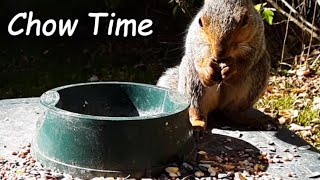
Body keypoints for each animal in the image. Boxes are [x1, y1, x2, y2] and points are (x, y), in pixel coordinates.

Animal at [156, 0, 272, 130]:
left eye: (245, 20)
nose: (219, 53)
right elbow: (197, 50)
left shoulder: (257, 37)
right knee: (197, 110)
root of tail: (217, 107)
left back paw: (251, 120)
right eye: (200, 21)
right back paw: (197, 123)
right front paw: (207, 69)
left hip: (256, 78)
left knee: (232, 112)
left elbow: (249, 59)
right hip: (193, 80)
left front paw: (232, 68)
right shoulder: (195, 35)